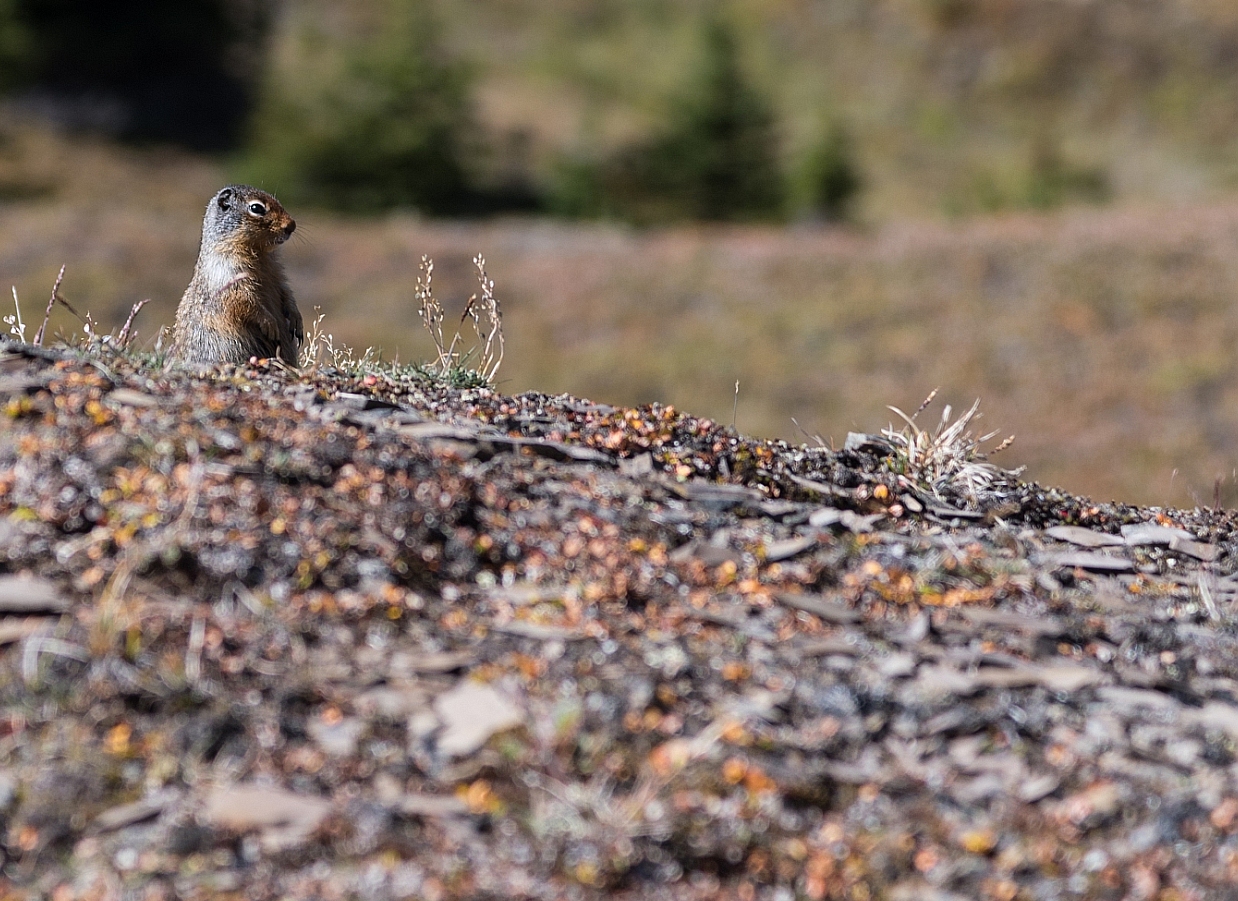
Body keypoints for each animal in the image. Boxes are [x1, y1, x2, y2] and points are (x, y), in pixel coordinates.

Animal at [169, 183, 302, 366]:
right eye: (256, 208)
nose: (291, 225)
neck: (259, 252)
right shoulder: (227, 270)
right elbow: (245, 300)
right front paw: (270, 325)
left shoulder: (277, 271)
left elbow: (286, 290)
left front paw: (297, 321)